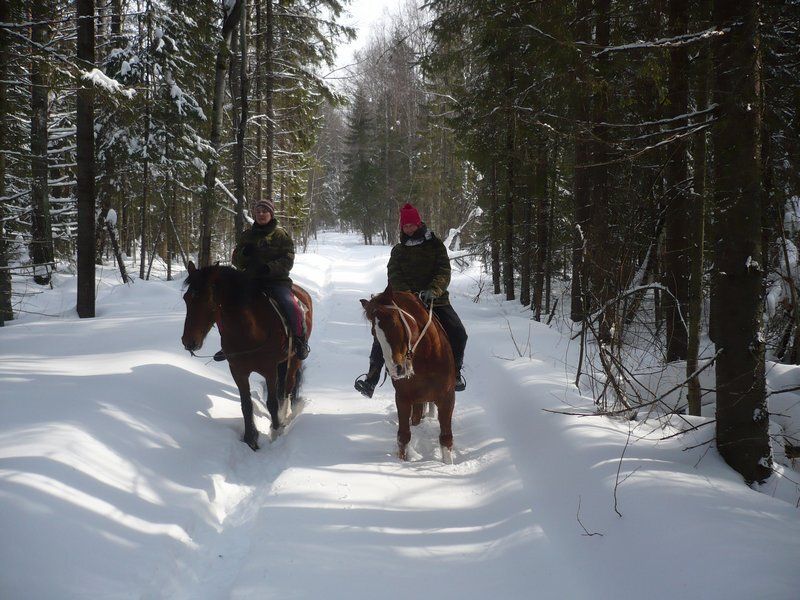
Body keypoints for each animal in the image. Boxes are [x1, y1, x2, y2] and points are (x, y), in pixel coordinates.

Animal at [183, 262, 314, 450]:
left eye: (208, 300)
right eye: (186, 298)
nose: (189, 342)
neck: (249, 332)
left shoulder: (269, 370)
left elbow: (272, 403)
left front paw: (275, 432)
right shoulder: (238, 371)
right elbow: (246, 405)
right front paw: (250, 440)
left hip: (294, 358)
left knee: (288, 387)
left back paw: (285, 416)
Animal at [362, 284, 456, 462]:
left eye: (394, 323)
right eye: (373, 333)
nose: (395, 369)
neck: (426, 357)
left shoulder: (447, 398)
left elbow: (446, 438)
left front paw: (448, 464)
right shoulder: (403, 398)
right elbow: (403, 436)